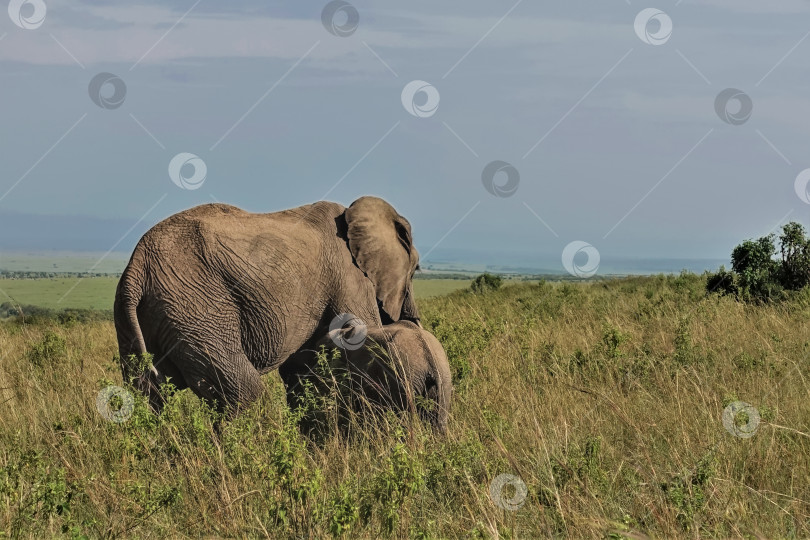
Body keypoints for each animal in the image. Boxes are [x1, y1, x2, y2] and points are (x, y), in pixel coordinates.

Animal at [113, 197, 420, 414]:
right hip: (194, 305)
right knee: (243, 393)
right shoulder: (349, 277)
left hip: (137, 314)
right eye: (416, 269)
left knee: (146, 396)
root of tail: (137, 266)